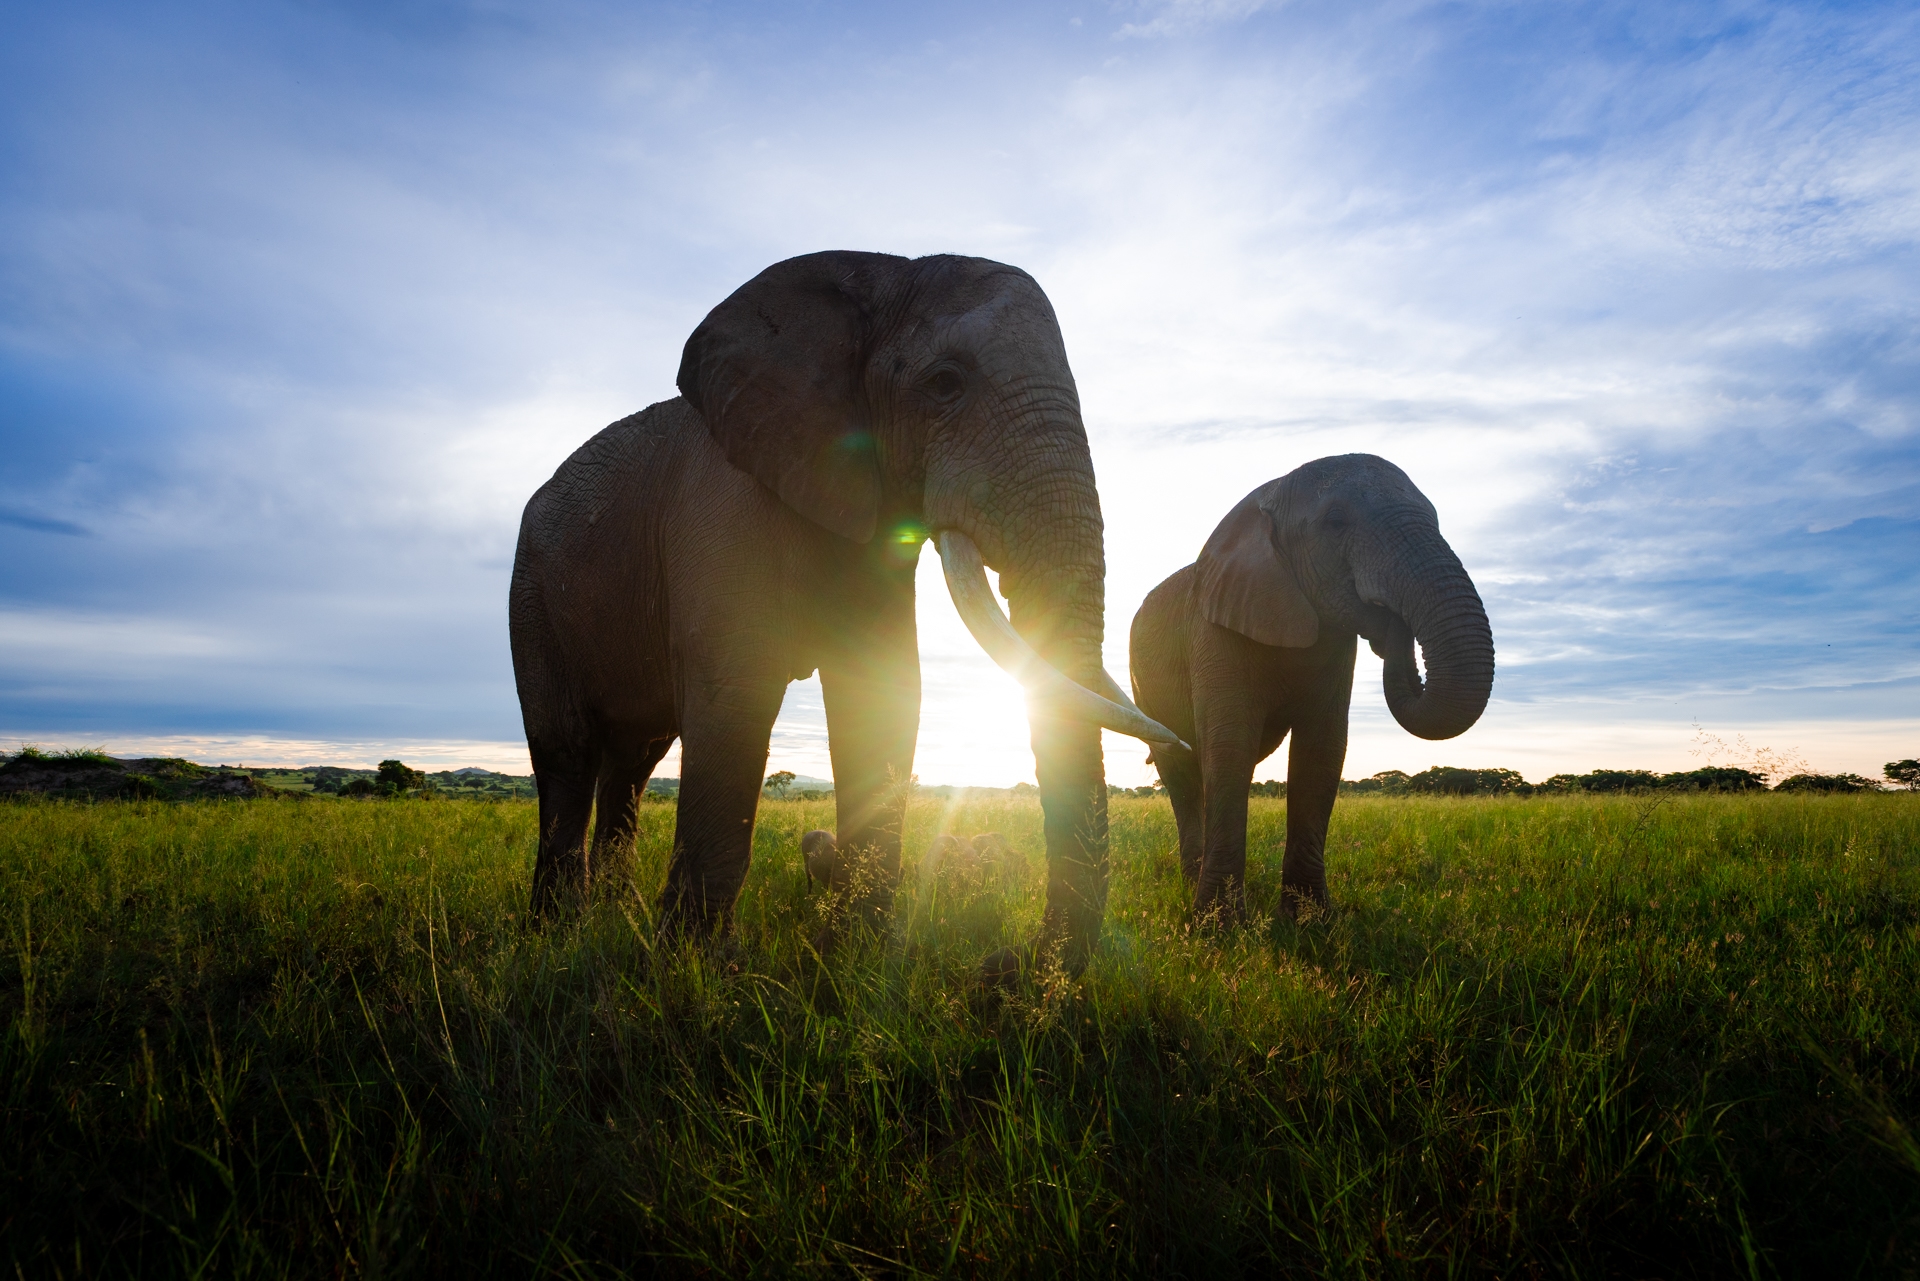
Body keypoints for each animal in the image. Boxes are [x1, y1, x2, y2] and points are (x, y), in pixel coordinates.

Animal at [509, 251, 1182, 965]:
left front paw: (849, 959)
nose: (1004, 967)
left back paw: (615, 919)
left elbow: (882, 691)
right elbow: (737, 690)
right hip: (533, 594)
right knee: (567, 751)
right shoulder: (721, 502)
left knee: (634, 762)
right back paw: (558, 936)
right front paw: (701, 968)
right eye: (946, 383)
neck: (877, 276)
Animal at [1128, 454, 1493, 922]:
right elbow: (1230, 742)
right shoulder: (1213, 628)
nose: (1392, 626)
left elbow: (1322, 749)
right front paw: (1217, 927)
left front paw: (1310, 921)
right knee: (1182, 770)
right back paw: (1192, 882)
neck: (1267, 494)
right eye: (1335, 522)